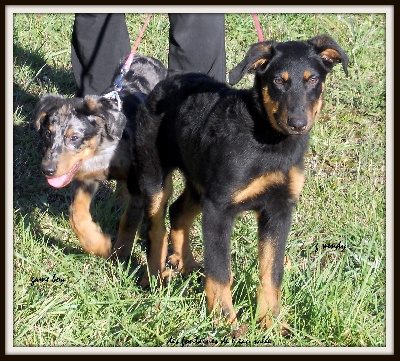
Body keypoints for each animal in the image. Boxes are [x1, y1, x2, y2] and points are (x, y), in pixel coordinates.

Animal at [33, 55, 166, 258]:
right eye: (48, 133)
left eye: (75, 137)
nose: (47, 170)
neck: (101, 152)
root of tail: (147, 58)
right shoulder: (84, 179)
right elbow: (76, 214)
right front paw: (98, 244)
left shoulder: (137, 183)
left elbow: (129, 221)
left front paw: (120, 255)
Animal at [134, 34, 346, 332]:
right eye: (278, 81)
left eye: (313, 79)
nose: (298, 123)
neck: (269, 139)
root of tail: (165, 82)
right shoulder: (219, 209)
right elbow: (221, 273)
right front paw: (225, 322)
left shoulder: (278, 210)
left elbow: (271, 272)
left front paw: (271, 322)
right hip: (155, 178)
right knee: (156, 227)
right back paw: (155, 279)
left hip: (200, 182)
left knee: (178, 213)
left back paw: (187, 265)